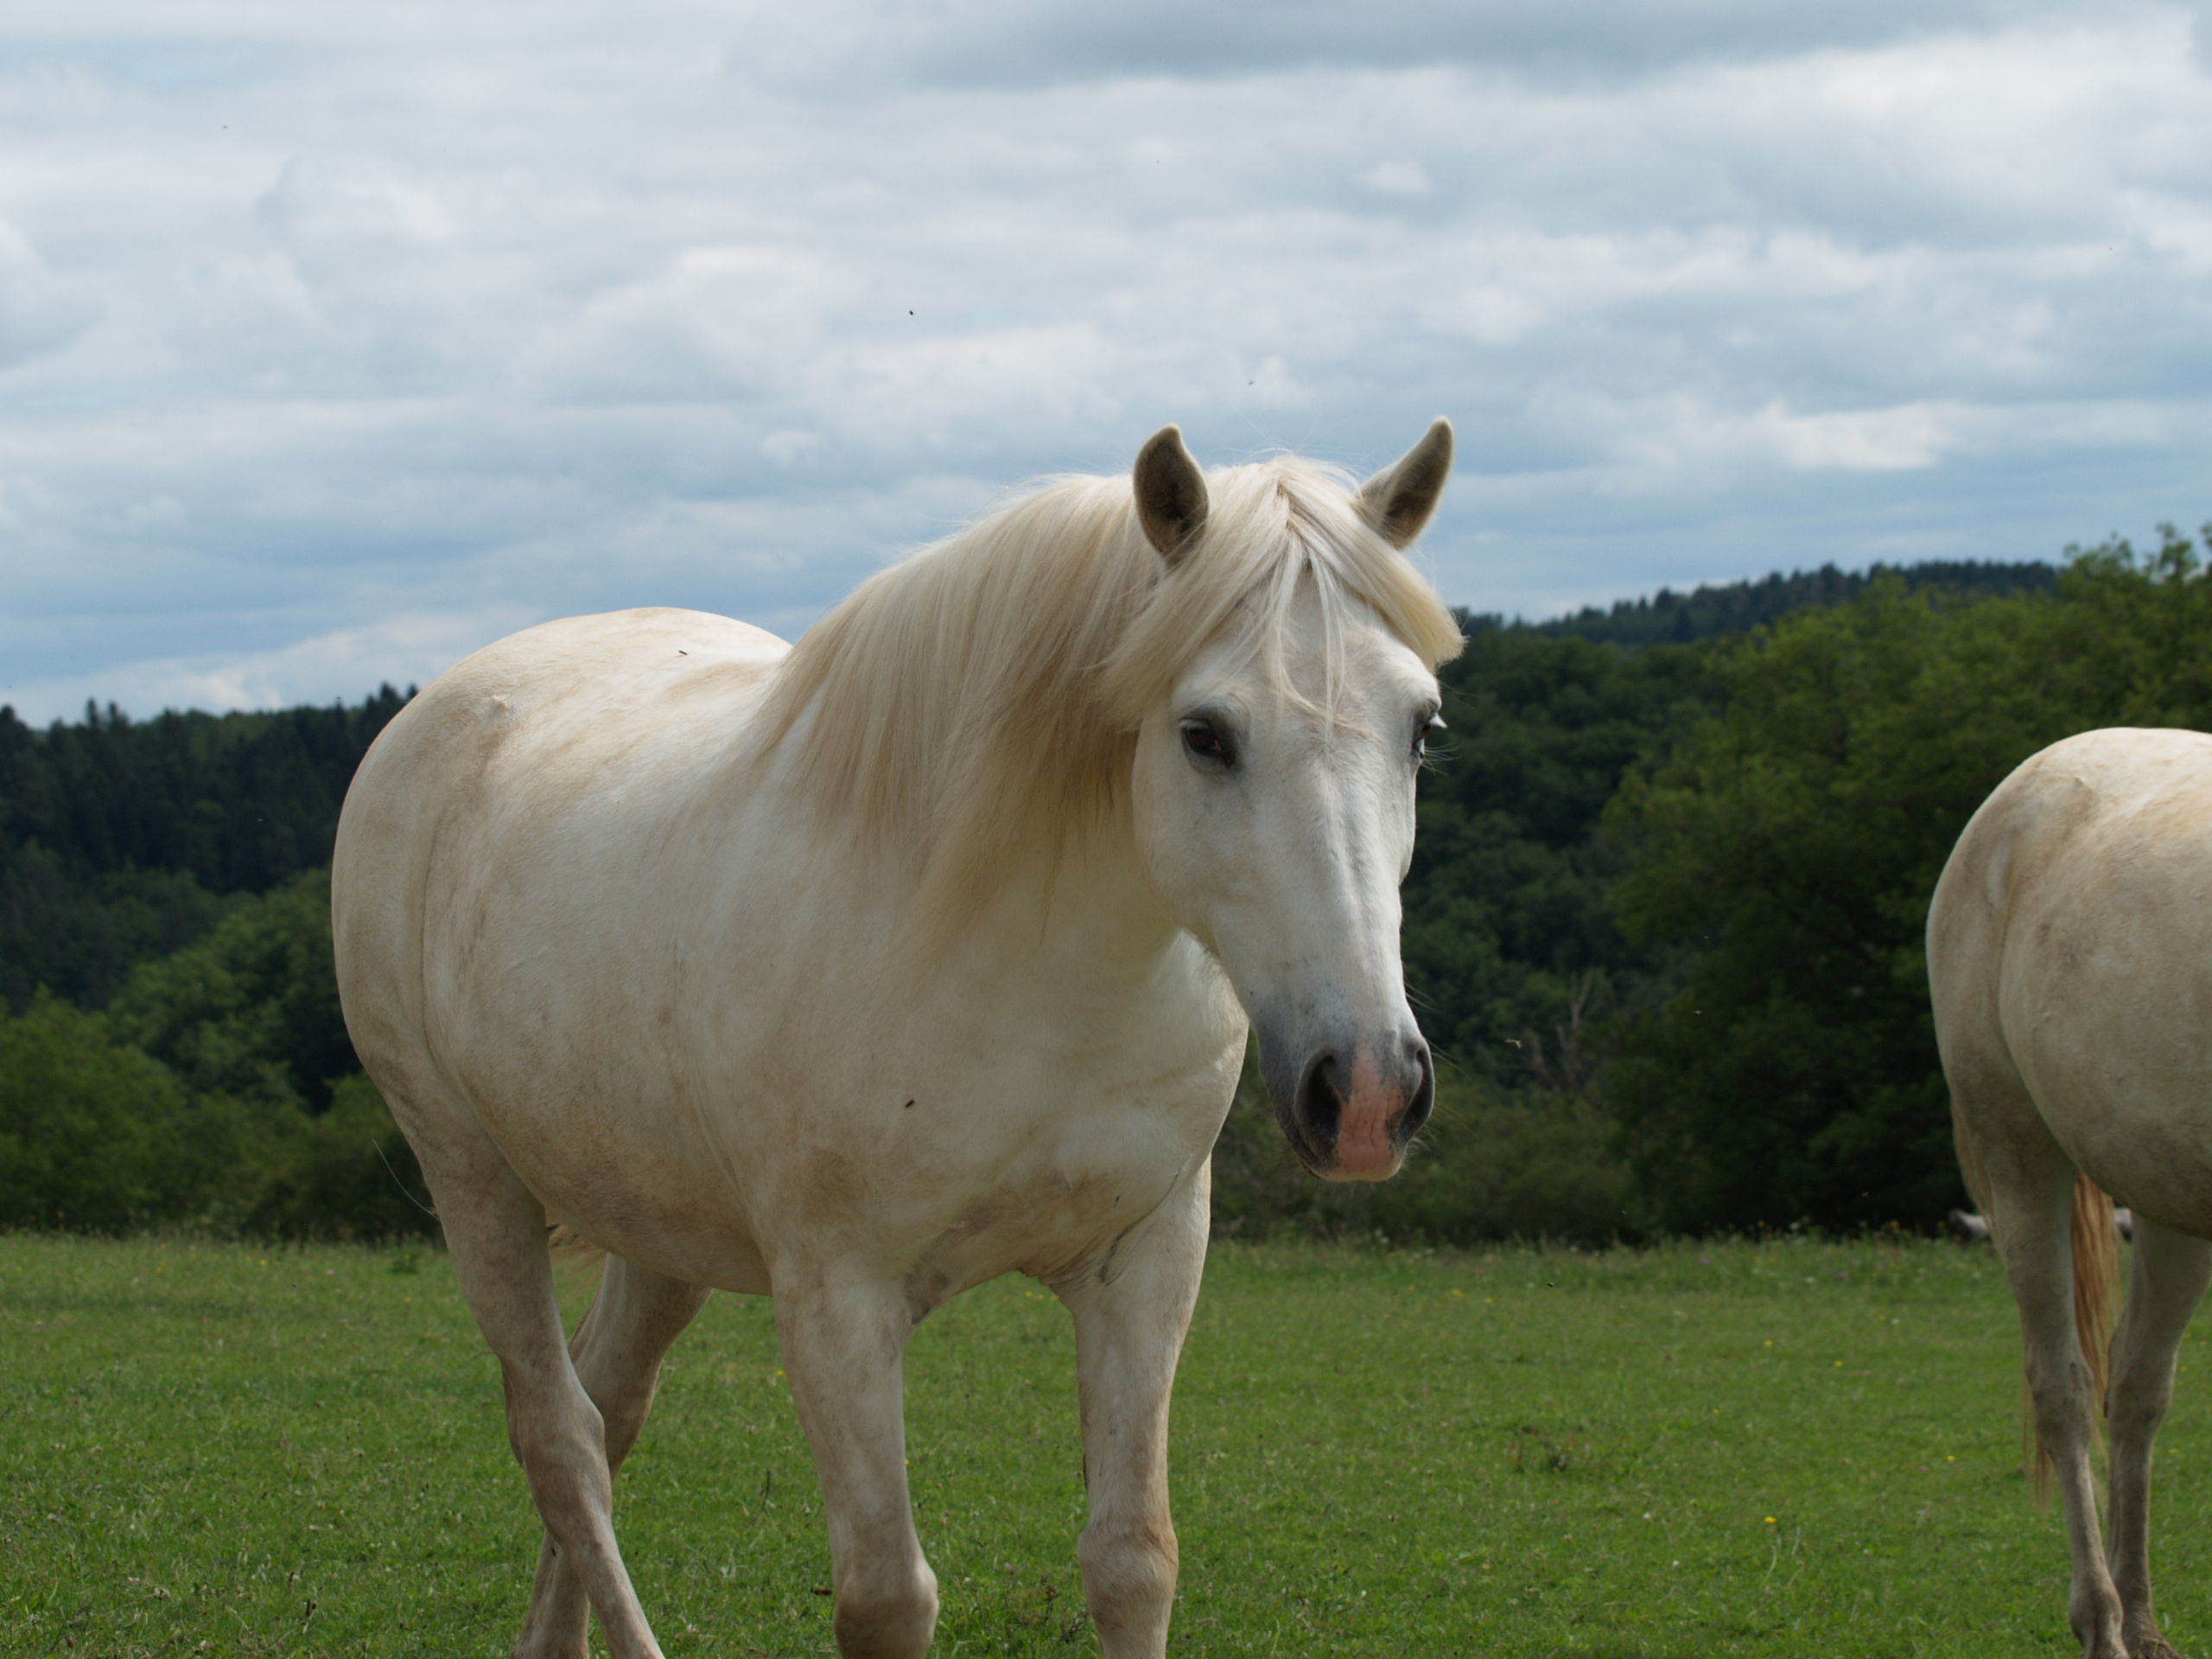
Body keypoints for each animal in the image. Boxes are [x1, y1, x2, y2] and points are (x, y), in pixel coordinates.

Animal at [332, 424, 1468, 1659]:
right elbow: (886, 1596)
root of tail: (437, 710)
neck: (1026, 972)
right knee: (560, 1437)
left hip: (658, 1225)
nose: (1367, 1091)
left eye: (1421, 728)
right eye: (1204, 735)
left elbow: (1132, 1563)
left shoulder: (1146, 1264)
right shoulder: (839, 1301)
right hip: (472, 1179)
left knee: (606, 1405)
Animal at [1929, 734, 2212, 1659]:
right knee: (2063, 1386)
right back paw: (2104, 1623)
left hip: (2167, 1197)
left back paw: (2145, 1622)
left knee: (2137, 1388)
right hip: (2018, 1152)